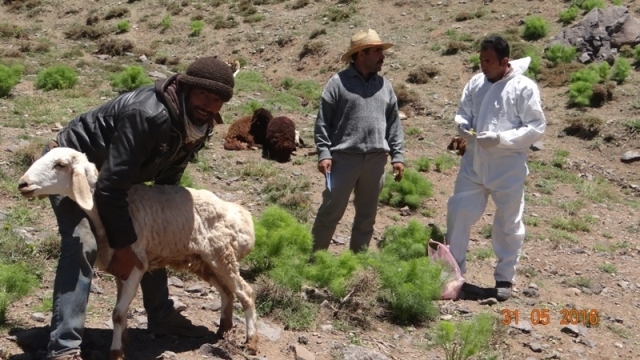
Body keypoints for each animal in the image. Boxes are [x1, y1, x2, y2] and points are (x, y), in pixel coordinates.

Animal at [20, 147, 260, 360]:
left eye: (60, 165)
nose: (23, 184)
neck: (104, 212)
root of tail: (244, 218)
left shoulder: (136, 265)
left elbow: (117, 313)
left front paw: (116, 352)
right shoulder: (120, 269)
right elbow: (122, 310)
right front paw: (124, 341)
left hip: (222, 255)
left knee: (246, 292)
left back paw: (251, 342)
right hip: (204, 261)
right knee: (227, 291)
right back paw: (224, 328)